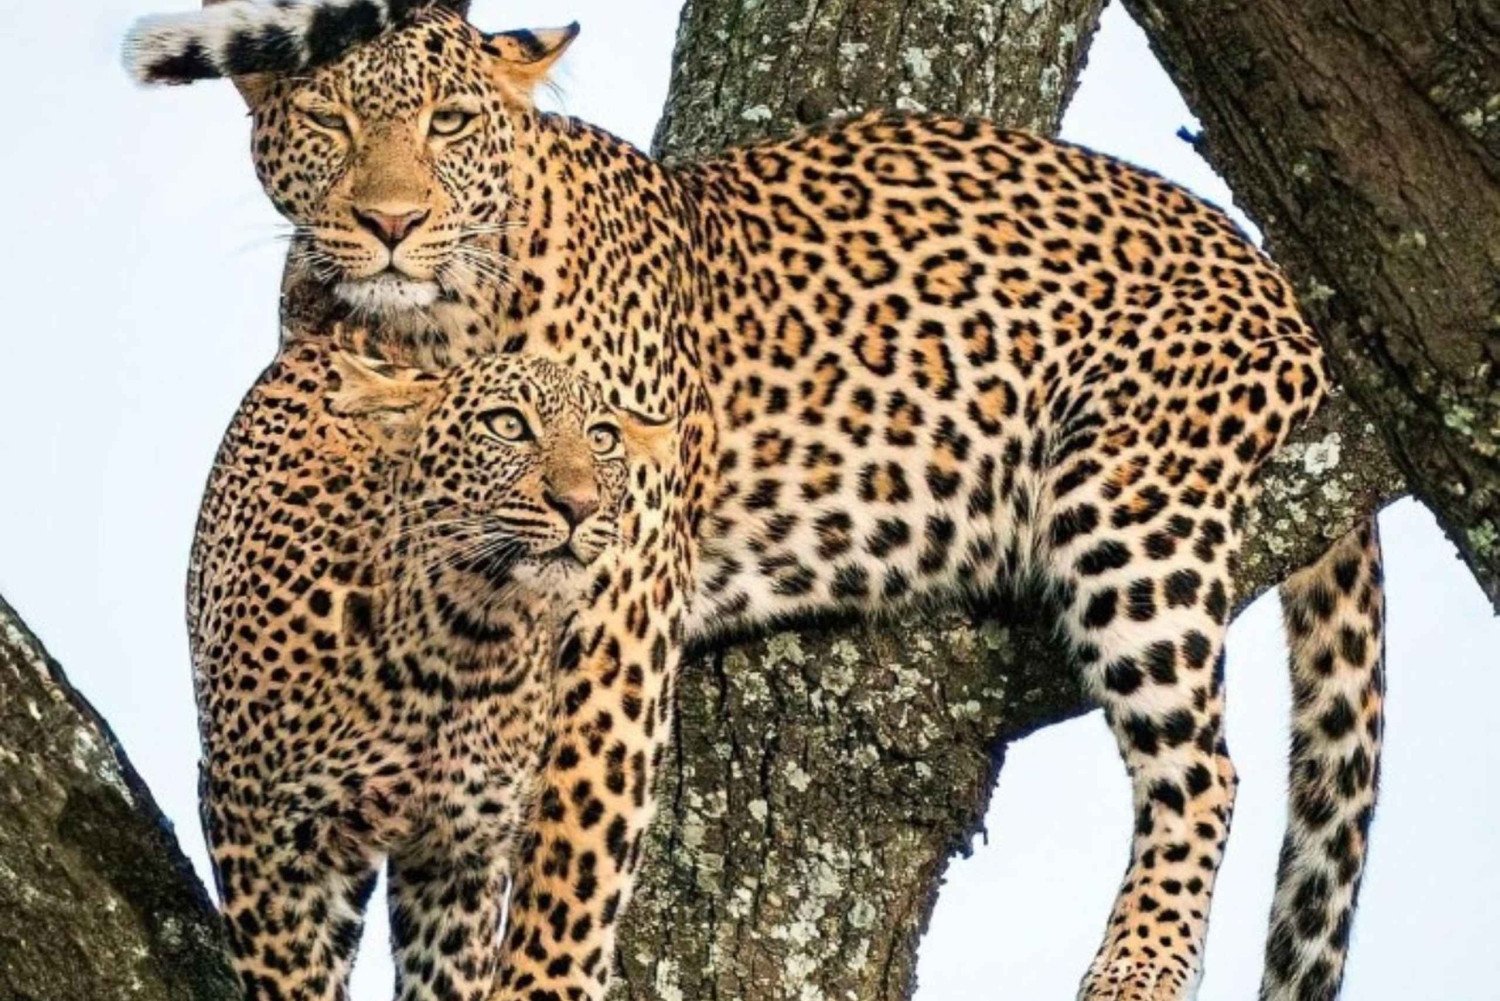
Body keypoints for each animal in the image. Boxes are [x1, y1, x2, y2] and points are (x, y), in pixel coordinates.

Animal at [128, 3, 1388, 999]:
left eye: (448, 124)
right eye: (329, 124)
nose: (389, 223)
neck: (427, 327)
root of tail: (1276, 274)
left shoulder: (616, 613)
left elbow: (568, 862)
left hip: (1129, 495)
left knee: (1203, 768)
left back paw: (1138, 966)